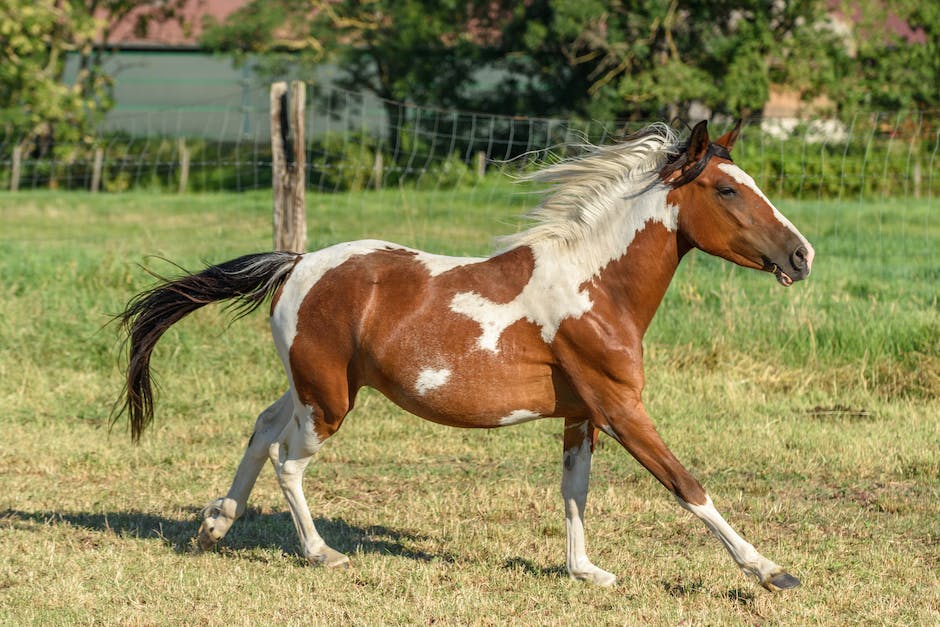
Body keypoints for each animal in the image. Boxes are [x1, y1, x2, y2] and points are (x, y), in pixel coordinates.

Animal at [119, 120, 816, 592]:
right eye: (726, 191)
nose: (802, 254)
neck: (595, 286)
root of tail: (297, 264)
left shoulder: (582, 414)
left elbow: (575, 489)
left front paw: (585, 570)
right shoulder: (621, 407)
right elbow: (686, 484)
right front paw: (771, 571)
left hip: (311, 386)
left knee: (262, 429)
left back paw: (214, 525)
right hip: (330, 401)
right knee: (287, 460)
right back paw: (321, 554)